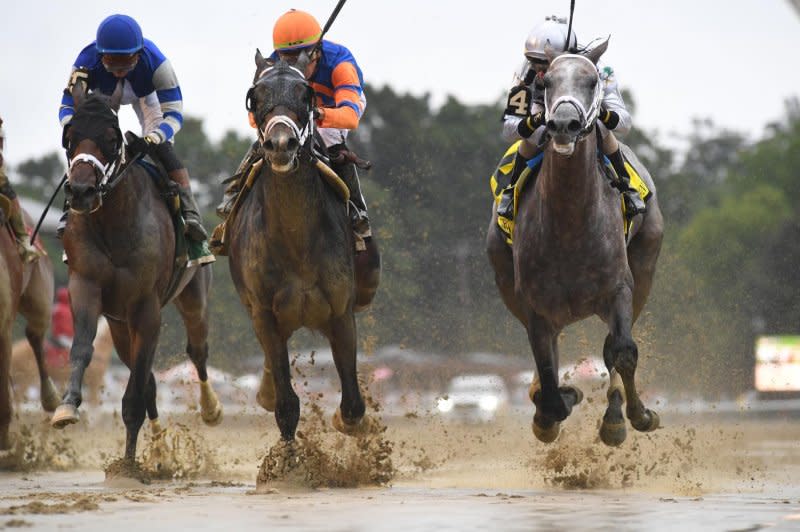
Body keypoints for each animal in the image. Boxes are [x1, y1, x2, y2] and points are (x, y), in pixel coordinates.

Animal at [50, 81, 222, 464]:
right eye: (70, 137)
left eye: (111, 137)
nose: (81, 191)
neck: (113, 224)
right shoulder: (86, 286)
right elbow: (82, 348)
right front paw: (67, 407)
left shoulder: (146, 306)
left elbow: (135, 394)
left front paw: (128, 466)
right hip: (118, 325)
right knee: (149, 382)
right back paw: (158, 447)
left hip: (193, 298)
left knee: (197, 352)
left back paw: (211, 408)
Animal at [227, 54, 368, 442]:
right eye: (255, 96)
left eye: (306, 94)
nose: (281, 144)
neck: (296, 239)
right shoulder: (265, 315)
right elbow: (286, 405)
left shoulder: (341, 312)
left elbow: (353, 405)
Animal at [488, 39, 664, 444]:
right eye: (546, 81)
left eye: (592, 79)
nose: (564, 124)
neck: (570, 226)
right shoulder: (534, 305)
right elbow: (549, 379)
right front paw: (555, 404)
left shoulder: (619, 288)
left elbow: (623, 351)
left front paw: (632, 416)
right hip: (506, 278)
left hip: (645, 266)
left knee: (612, 348)